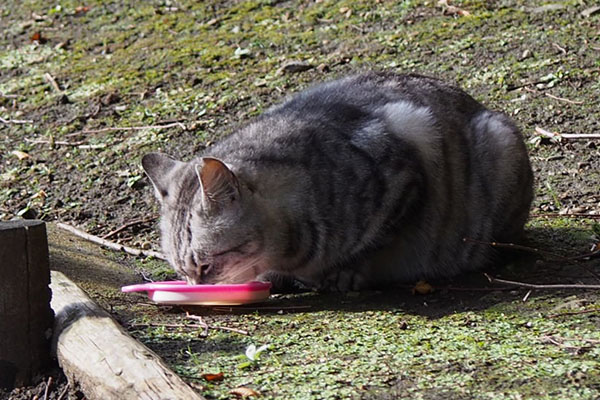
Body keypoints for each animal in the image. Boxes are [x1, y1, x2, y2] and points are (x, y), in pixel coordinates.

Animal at [142, 72, 536, 290]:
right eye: (180, 270)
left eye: (205, 266)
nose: (192, 286)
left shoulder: (408, 166)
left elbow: (375, 242)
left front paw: (345, 273)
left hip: (499, 143)